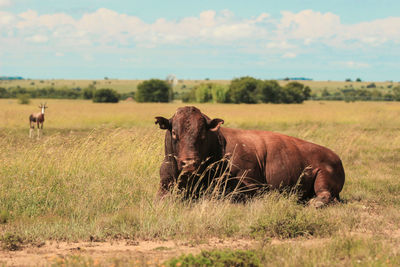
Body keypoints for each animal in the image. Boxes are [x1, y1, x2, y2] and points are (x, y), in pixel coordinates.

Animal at [155, 107, 346, 207]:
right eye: (174, 133)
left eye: (202, 134)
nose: (189, 163)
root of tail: (336, 157)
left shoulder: (250, 186)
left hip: (322, 177)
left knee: (325, 194)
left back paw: (315, 202)